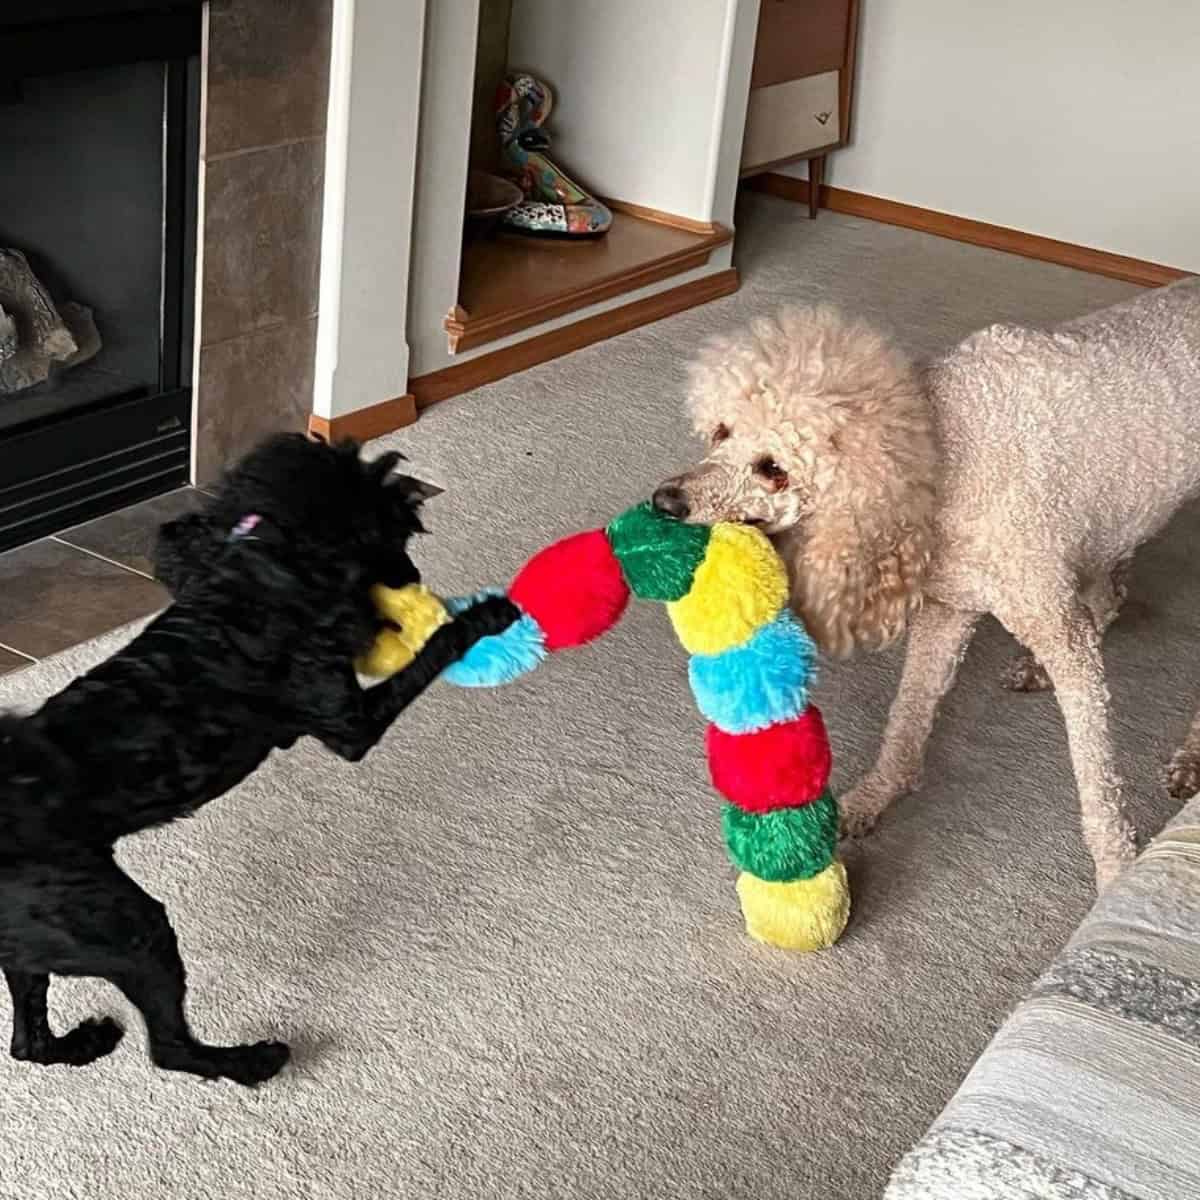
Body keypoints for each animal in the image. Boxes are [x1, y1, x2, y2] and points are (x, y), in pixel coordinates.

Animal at [0, 434, 516, 1089]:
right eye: (392, 530)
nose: (413, 577)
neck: (256, 567)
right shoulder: (351, 725)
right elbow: (432, 652)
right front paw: (482, 617)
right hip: (126, 927)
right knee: (168, 1049)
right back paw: (253, 1061)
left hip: (34, 943)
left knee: (27, 1042)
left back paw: (85, 1042)